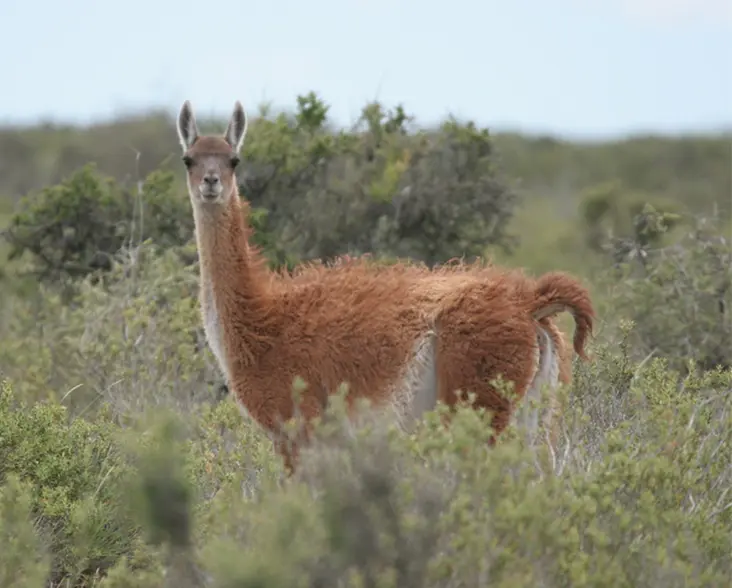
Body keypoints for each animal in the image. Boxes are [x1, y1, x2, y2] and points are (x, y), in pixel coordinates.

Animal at [175, 99, 595, 472]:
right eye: (189, 159)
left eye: (233, 160)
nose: (211, 182)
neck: (257, 320)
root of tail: (530, 302)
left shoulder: (297, 427)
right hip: (538, 408)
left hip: (477, 402)